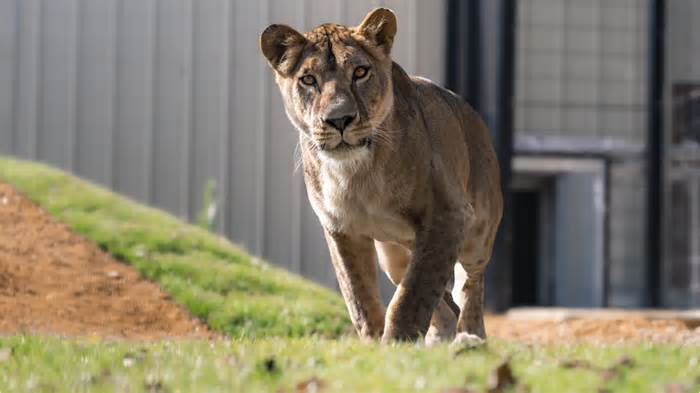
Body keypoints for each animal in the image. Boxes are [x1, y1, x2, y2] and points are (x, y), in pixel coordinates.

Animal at [260, 6, 500, 344]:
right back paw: (438, 341)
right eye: (308, 79)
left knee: (470, 286)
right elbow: (358, 295)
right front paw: (375, 344)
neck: (355, 175)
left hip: (475, 234)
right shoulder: (341, 229)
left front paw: (396, 341)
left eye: (360, 72)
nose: (339, 119)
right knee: (443, 302)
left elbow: (413, 295)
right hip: (395, 255)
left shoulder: (447, 214)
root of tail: (473, 115)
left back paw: (471, 337)